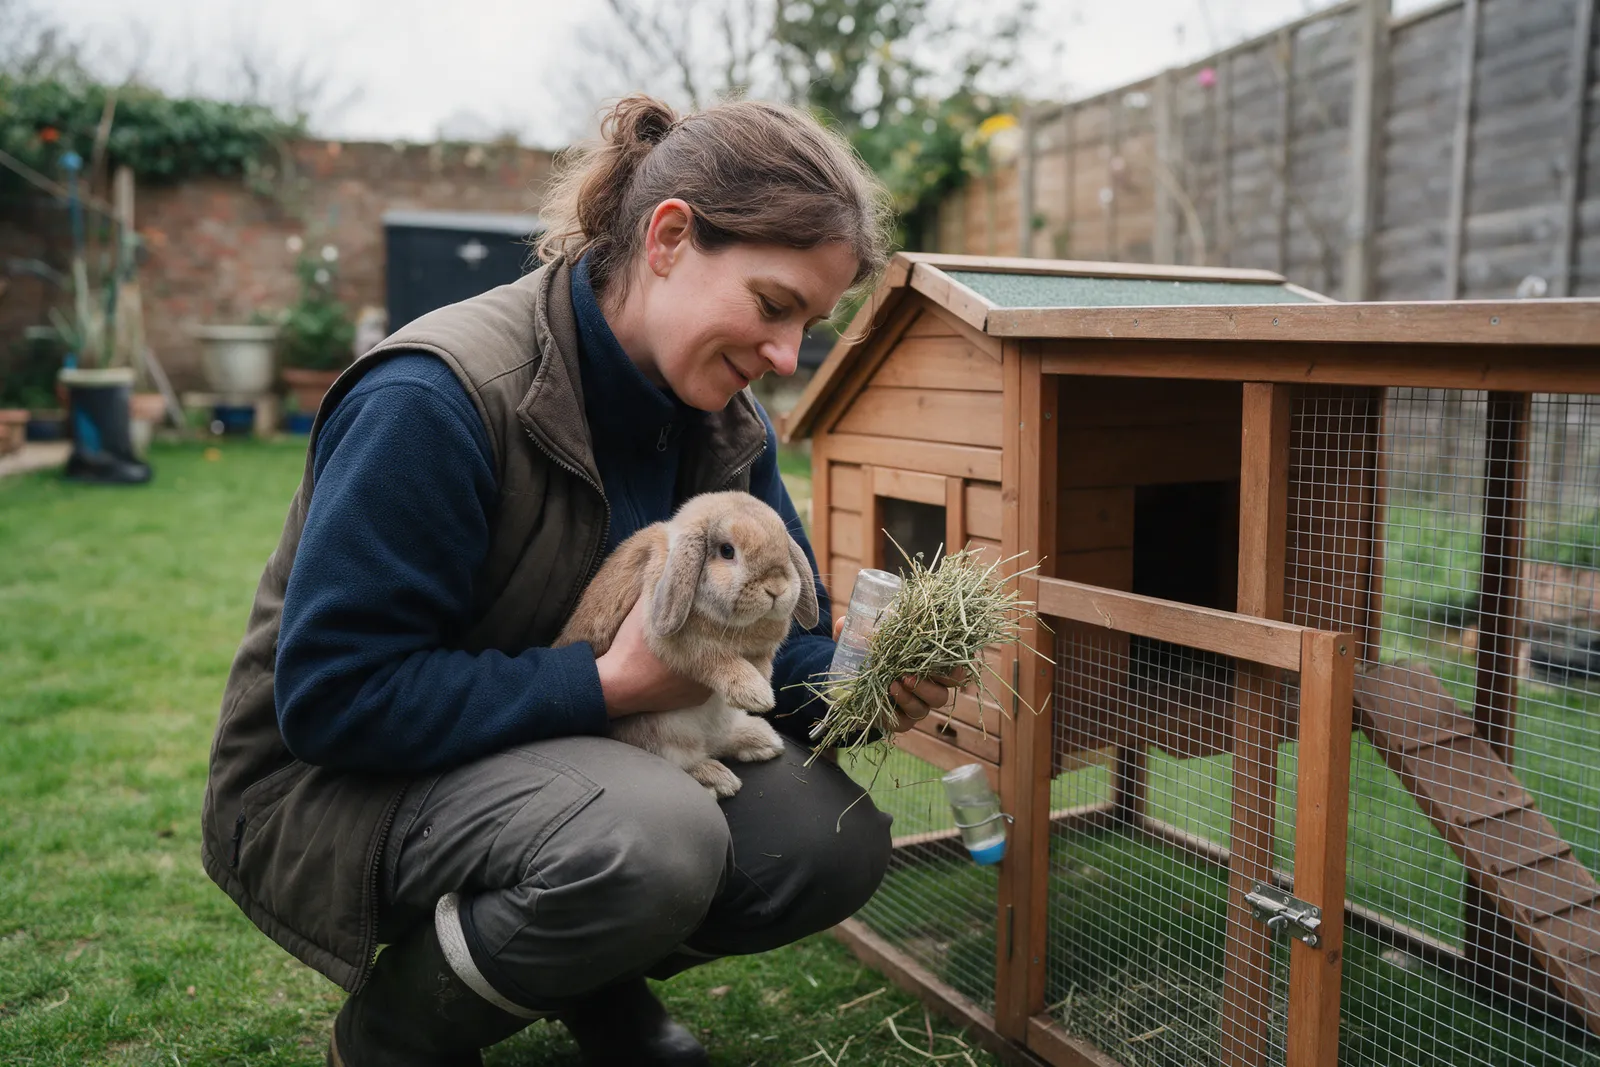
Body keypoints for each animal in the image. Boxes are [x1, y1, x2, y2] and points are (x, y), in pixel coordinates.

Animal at [554, 490, 820, 798]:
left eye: (784, 547)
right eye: (727, 551)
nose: (776, 588)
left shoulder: (763, 650)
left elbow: (762, 661)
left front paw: (763, 681)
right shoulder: (688, 649)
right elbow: (720, 662)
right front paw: (756, 694)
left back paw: (762, 739)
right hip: (664, 735)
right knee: (686, 758)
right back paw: (718, 778)